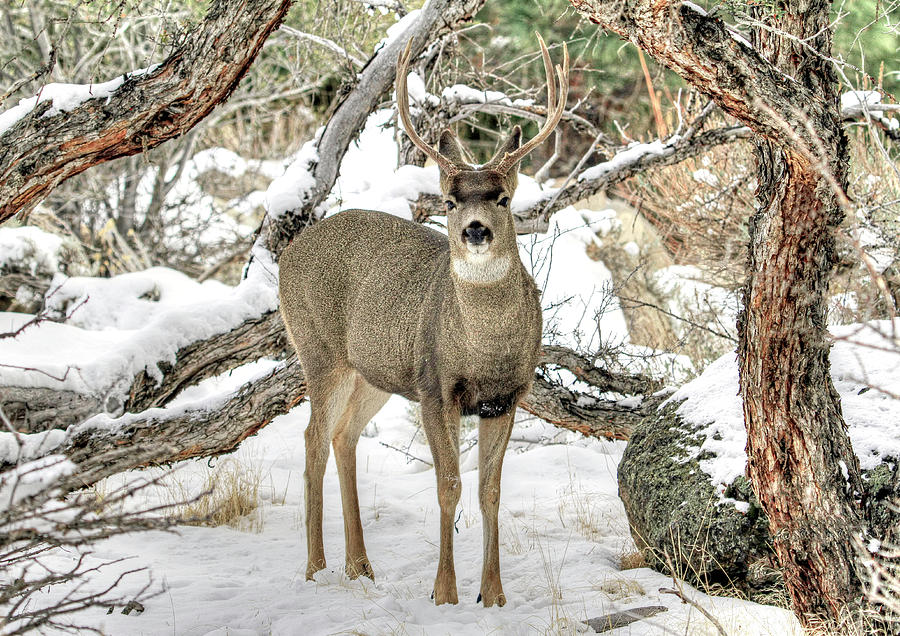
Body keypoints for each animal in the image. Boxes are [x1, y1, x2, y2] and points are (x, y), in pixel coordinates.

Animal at [278, 33, 568, 608]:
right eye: (451, 201)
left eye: (504, 198)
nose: (475, 229)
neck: (484, 347)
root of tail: (286, 255)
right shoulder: (437, 387)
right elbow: (449, 484)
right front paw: (445, 593)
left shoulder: (508, 395)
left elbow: (489, 490)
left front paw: (493, 595)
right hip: (320, 352)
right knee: (312, 437)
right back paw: (316, 567)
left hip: (374, 372)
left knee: (343, 435)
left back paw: (361, 566)